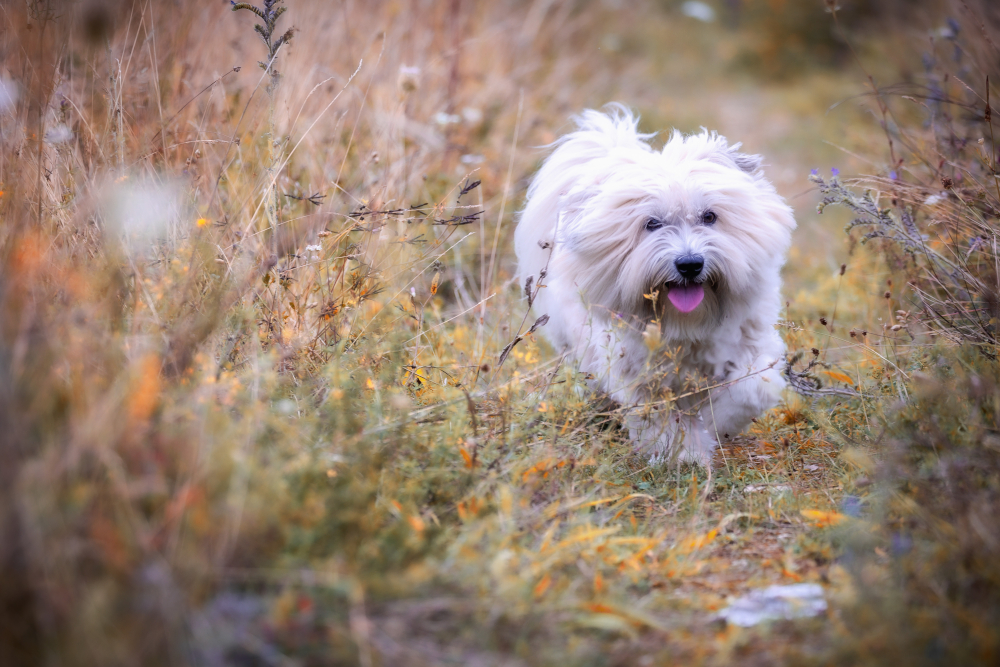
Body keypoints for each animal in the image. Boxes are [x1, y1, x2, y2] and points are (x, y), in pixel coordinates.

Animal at [516, 107, 796, 468]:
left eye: (709, 217)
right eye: (652, 223)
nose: (690, 264)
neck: (688, 325)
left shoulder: (752, 345)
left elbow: (750, 391)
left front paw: (718, 423)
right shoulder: (639, 373)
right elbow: (663, 417)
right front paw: (684, 454)